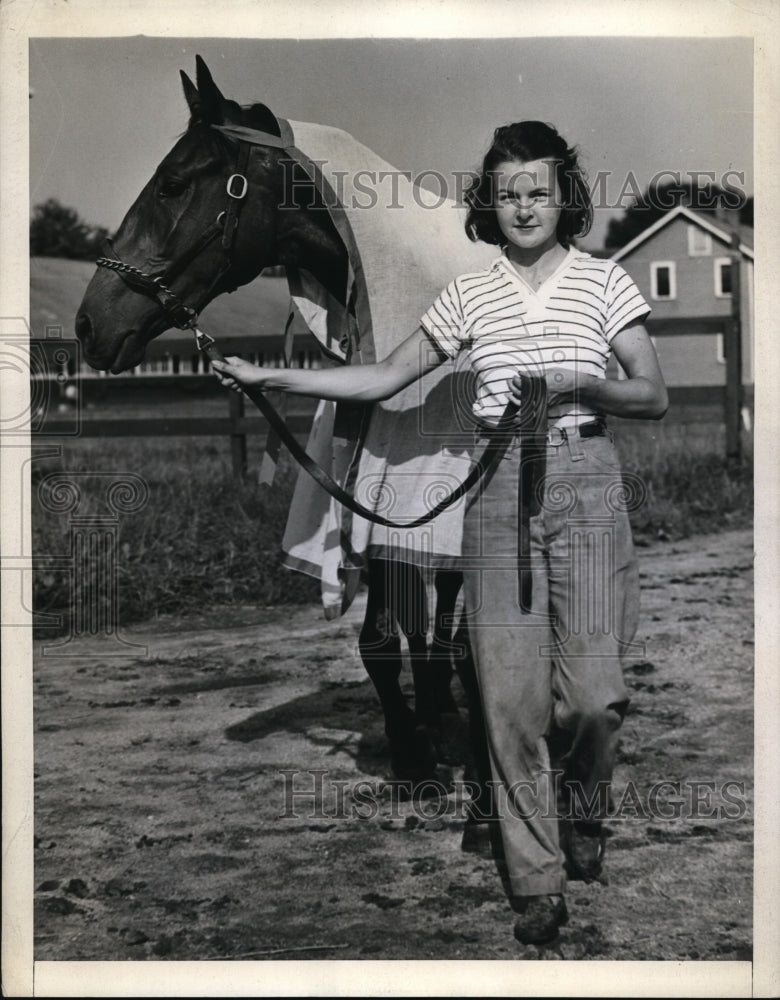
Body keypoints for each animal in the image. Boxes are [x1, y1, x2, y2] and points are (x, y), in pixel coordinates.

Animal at [71, 56, 488, 804]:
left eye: (173, 184)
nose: (90, 325)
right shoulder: (365, 491)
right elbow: (381, 637)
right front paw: (413, 755)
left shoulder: (411, 493)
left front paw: (430, 745)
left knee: (445, 604)